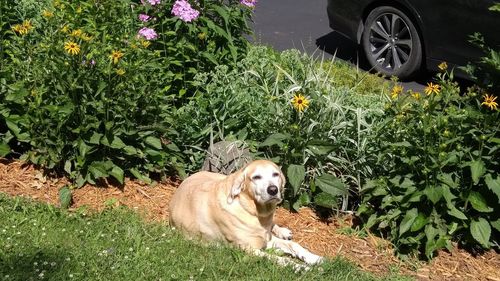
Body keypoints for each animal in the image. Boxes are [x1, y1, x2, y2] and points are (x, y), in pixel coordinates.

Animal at [169, 160, 324, 264]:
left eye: (276, 174)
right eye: (256, 177)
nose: (273, 190)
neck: (254, 212)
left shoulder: (267, 238)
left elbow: (294, 245)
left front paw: (314, 258)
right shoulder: (248, 249)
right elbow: (281, 260)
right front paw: (301, 267)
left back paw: (283, 231)